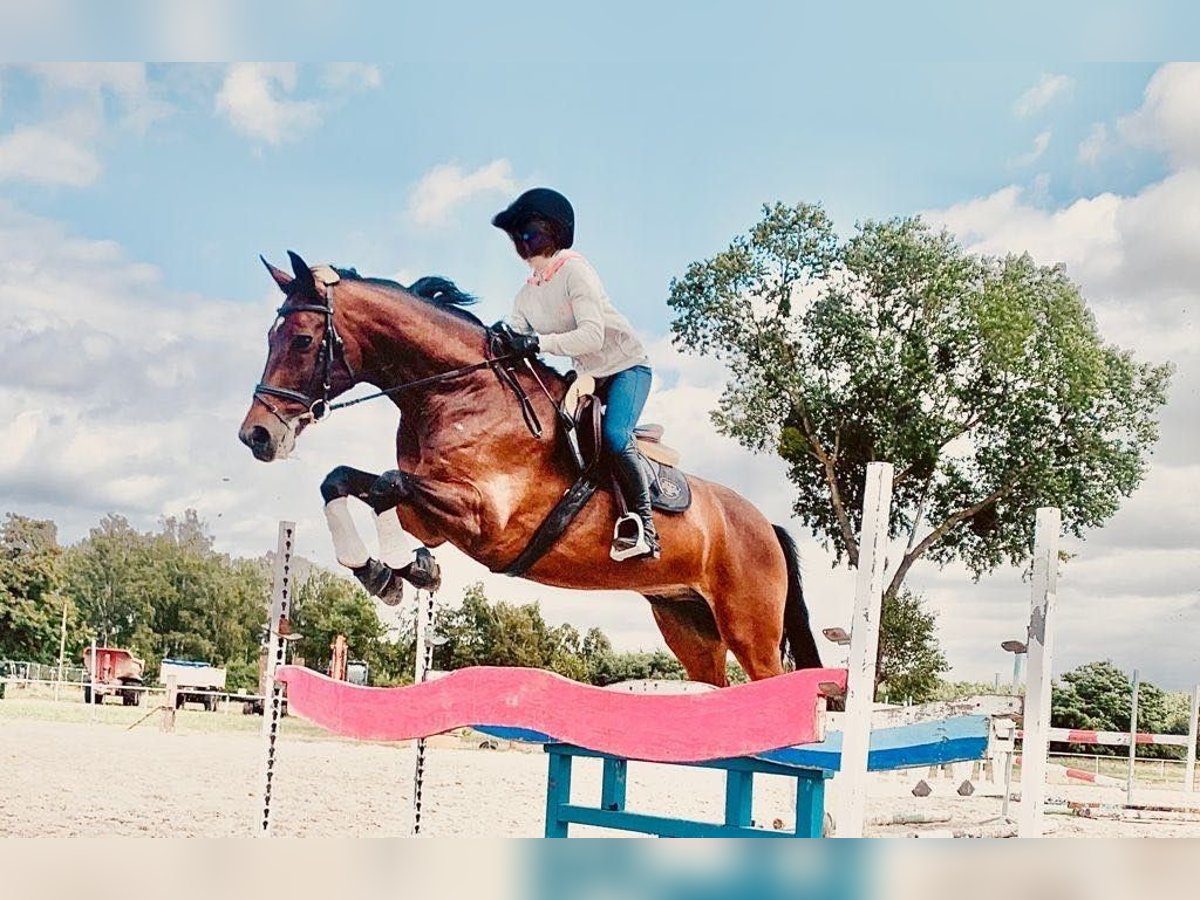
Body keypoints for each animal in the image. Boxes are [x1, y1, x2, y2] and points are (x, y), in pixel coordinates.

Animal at [238, 250, 820, 686]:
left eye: (303, 340)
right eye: (269, 337)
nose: (256, 436)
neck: (456, 390)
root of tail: (766, 525)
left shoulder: (484, 518)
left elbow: (386, 483)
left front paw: (404, 572)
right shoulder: (430, 518)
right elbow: (344, 480)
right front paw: (384, 570)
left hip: (750, 631)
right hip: (688, 628)